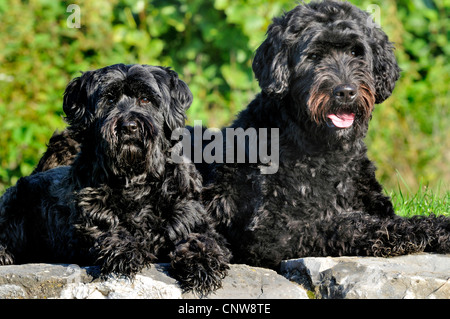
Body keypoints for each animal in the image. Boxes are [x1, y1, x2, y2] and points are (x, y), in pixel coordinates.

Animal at [0, 63, 230, 296]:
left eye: (145, 99)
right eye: (109, 99)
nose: (128, 126)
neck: (135, 178)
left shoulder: (192, 219)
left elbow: (203, 239)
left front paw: (203, 263)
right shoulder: (89, 222)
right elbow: (110, 230)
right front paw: (124, 250)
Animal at [201, 0, 450, 270]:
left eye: (355, 52)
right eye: (313, 56)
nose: (346, 92)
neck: (326, 152)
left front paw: (438, 226)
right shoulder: (273, 231)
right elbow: (345, 223)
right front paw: (399, 232)